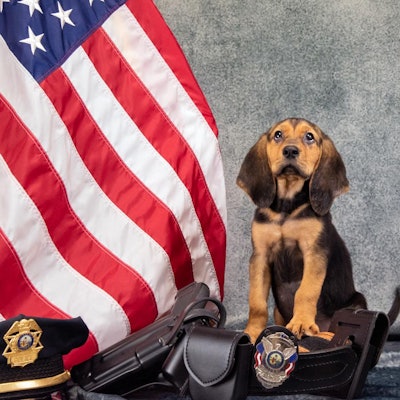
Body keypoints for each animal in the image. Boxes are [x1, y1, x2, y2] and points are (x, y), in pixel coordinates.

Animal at [238, 117, 366, 342]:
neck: (286, 208)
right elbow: (256, 301)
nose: (290, 150)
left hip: (357, 302)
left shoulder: (314, 253)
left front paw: (302, 323)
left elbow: (306, 291)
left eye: (309, 137)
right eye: (278, 135)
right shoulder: (260, 256)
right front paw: (252, 332)